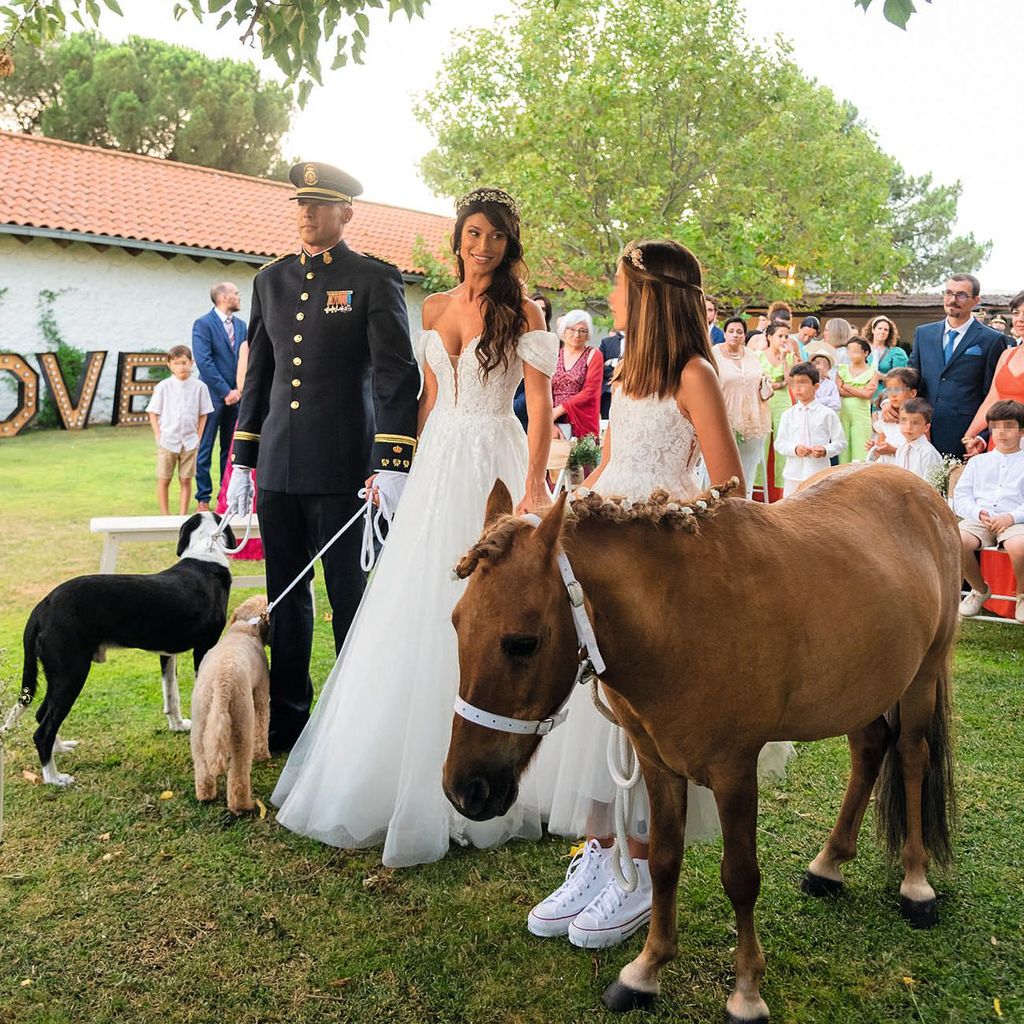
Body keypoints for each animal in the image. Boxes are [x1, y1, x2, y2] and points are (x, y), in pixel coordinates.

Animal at [9, 512, 235, 782]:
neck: (205, 553)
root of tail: (43, 606)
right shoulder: (204, 648)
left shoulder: (167, 654)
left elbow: (172, 695)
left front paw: (178, 726)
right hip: (71, 674)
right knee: (43, 729)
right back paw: (54, 778)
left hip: (58, 677)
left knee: (42, 715)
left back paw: (59, 748)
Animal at [440, 466, 958, 1024]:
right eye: (456, 622)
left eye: (522, 643)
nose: (464, 789)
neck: (679, 618)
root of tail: (924, 491)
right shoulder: (657, 764)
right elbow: (665, 861)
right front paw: (645, 970)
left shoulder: (735, 772)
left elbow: (741, 877)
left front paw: (747, 990)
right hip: (861, 690)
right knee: (869, 750)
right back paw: (829, 864)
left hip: (922, 676)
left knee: (911, 757)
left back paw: (916, 883)